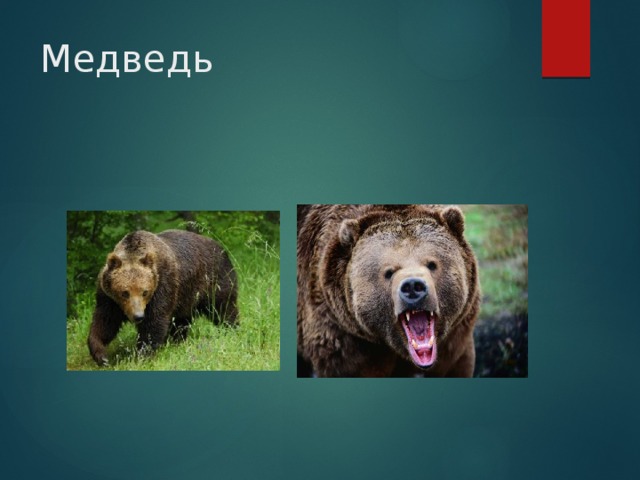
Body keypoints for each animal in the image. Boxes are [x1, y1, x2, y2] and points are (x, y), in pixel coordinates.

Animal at [88, 229, 238, 366]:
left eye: (145, 292)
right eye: (125, 292)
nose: (138, 316)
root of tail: (221, 248)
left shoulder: (163, 285)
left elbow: (154, 321)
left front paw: (142, 355)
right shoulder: (109, 298)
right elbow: (105, 322)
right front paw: (101, 356)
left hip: (214, 280)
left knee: (223, 308)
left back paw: (230, 329)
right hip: (186, 297)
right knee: (181, 321)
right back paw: (178, 340)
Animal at [297, 205, 480, 377]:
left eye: (431, 264)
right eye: (388, 272)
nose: (413, 287)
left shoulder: (456, 336)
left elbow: (455, 365)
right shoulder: (345, 338)